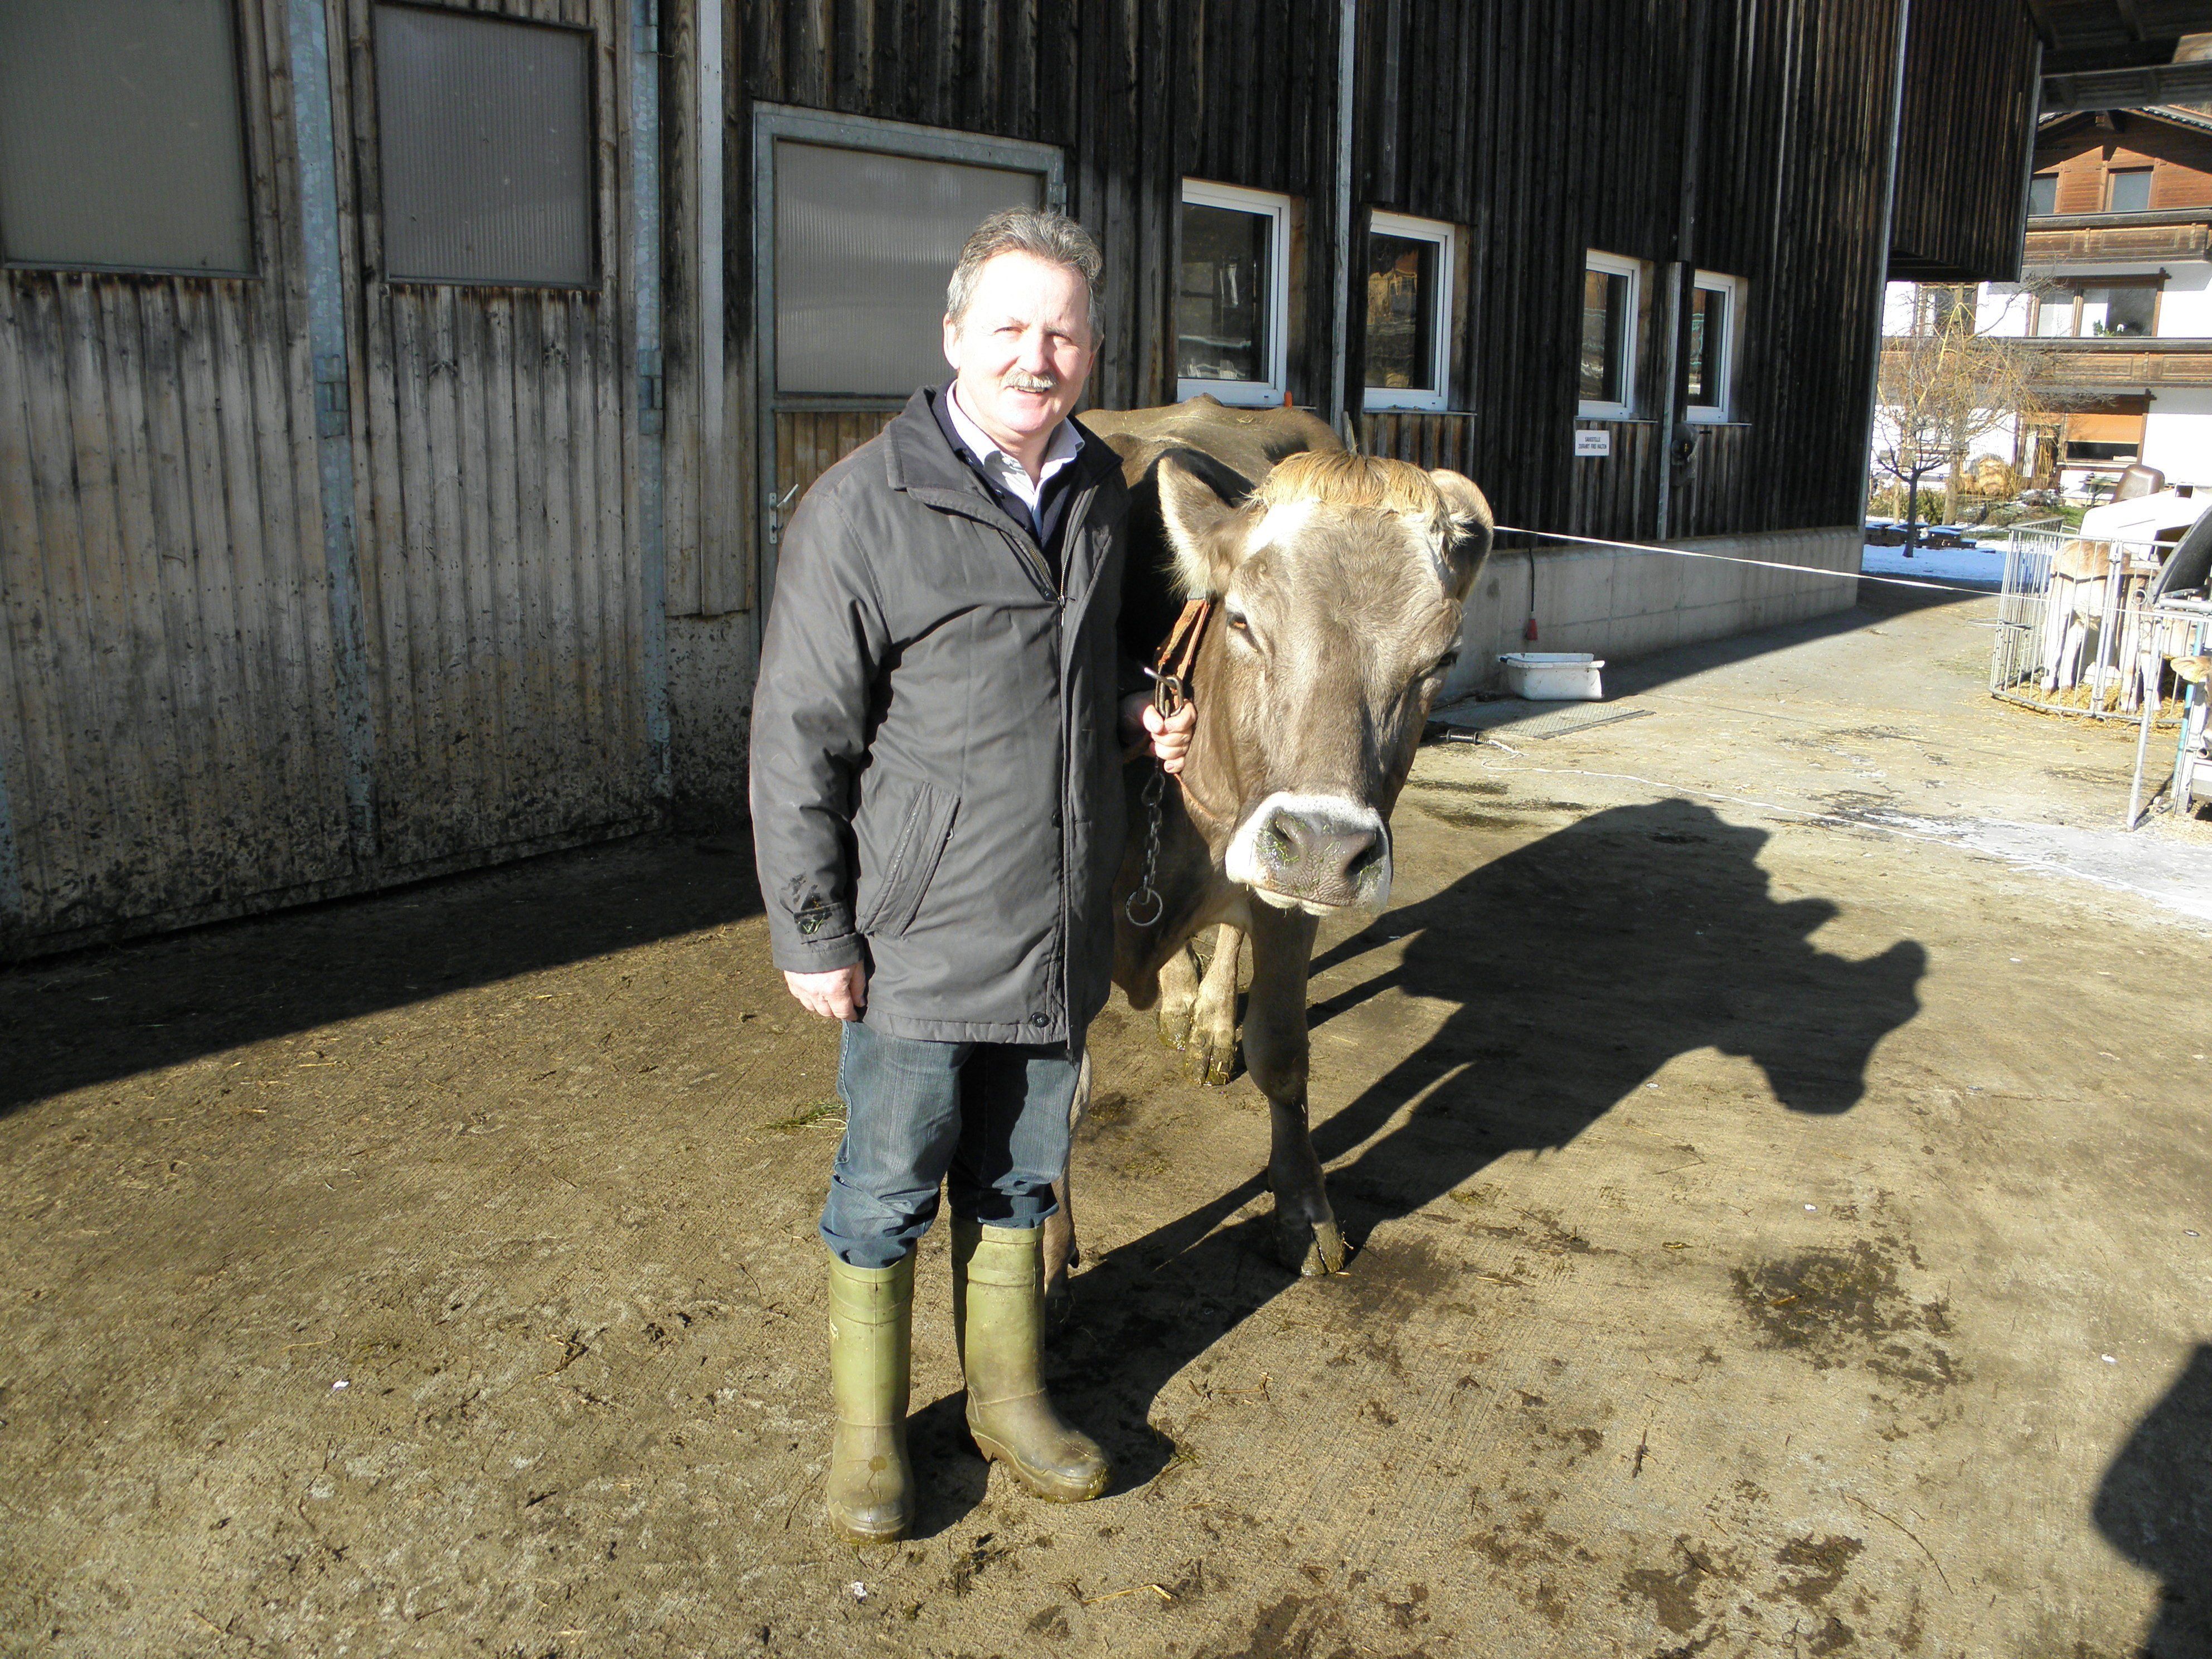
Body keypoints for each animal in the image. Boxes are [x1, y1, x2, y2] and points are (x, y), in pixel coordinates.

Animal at [1044, 396, 1494, 1297]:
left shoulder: (1290, 898)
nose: (1322, 845)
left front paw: (1304, 1213)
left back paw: (1209, 1022)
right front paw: (1042, 1263)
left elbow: (1283, 1052)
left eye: (1442, 658)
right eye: (1244, 620)